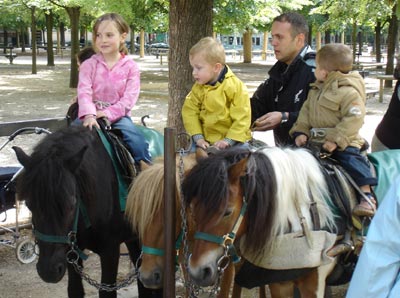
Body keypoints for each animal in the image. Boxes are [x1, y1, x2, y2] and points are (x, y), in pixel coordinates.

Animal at [13, 125, 162, 298]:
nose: (48, 271)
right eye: (29, 204)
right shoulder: (71, 251)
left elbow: (106, 291)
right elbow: (74, 290)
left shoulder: (110, 250)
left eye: (71, 204)